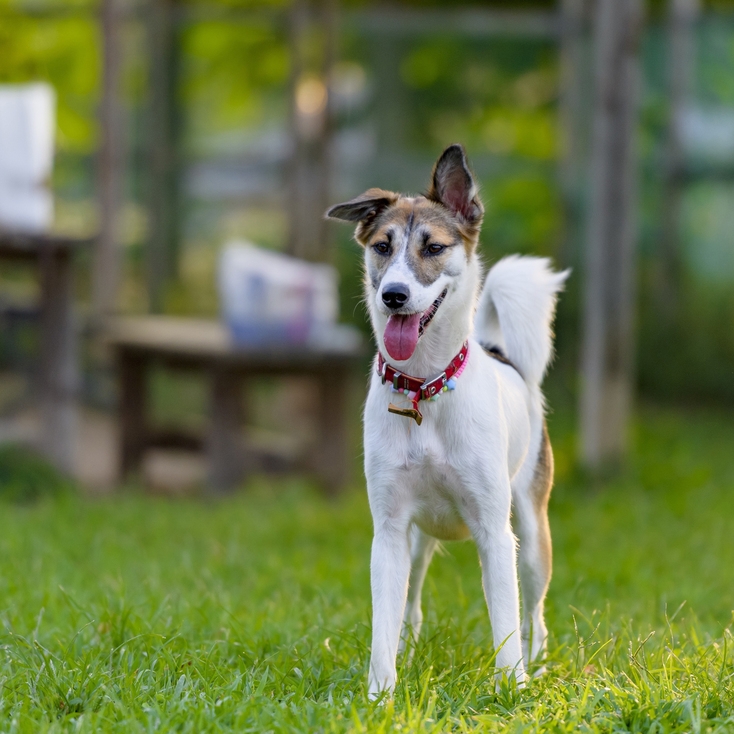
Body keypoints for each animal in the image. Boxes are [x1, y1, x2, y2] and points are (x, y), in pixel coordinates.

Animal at [326, 145, 568, 700]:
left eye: (433, 247)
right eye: (382, 247)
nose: (393, 295)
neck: (425, 389)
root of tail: (502, 353)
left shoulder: (495, 533)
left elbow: (506, 623)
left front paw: (512, 689)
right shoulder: (389, 531)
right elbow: (384, 622)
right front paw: (380, 694)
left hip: (531, 534)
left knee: (535, 613)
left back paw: (538, 663)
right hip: (418, 542)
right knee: (411, 604)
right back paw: (409, 650)